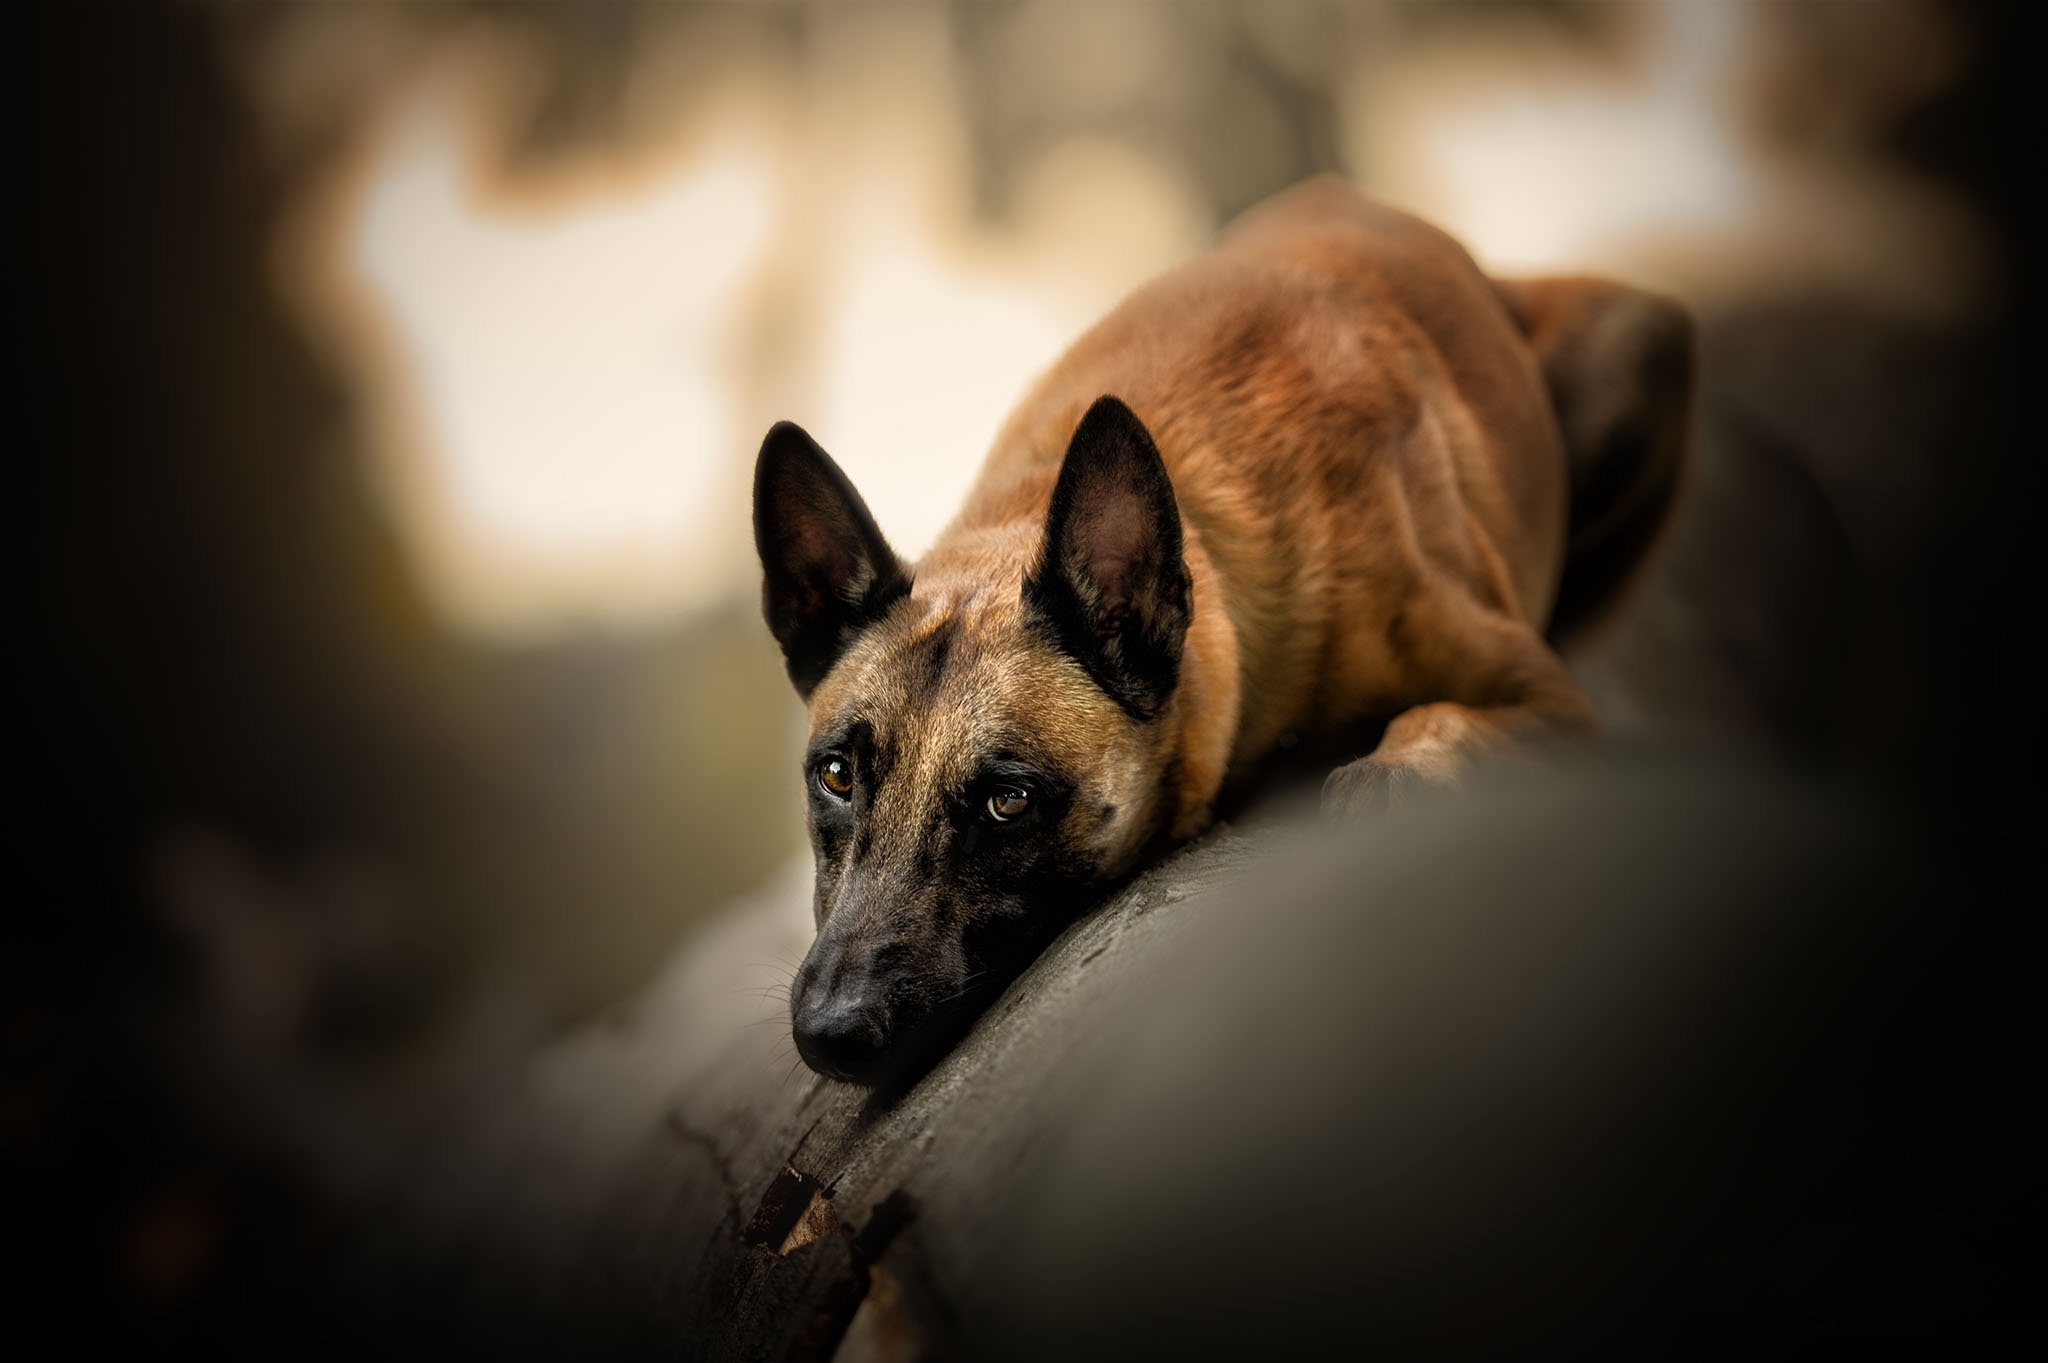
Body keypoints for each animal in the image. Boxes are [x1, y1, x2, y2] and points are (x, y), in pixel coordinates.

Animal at [761, 178, 1687, 1080]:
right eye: (836, 776)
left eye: (1007, 800)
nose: (831, 1032)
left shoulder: (1548, 698)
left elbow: (1447, 715)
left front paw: (1396, 769)